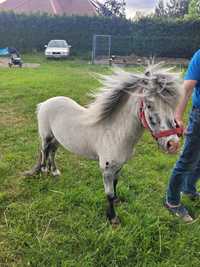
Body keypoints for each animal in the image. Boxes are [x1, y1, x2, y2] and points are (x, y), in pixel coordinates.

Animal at [26, 64, 183, 226]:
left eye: (172, 106)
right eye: (149, 105)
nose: (173, 144)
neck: (115, 132)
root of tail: (44, 103)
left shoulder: (119, 166)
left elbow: (115, 184)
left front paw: (117, 201)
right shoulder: (106, 169)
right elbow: (109, 194)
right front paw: (113, 218)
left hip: (57, 139)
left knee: (52, 151)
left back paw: (55, 171)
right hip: (46, 136)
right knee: (44, 151)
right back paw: (44, 170)